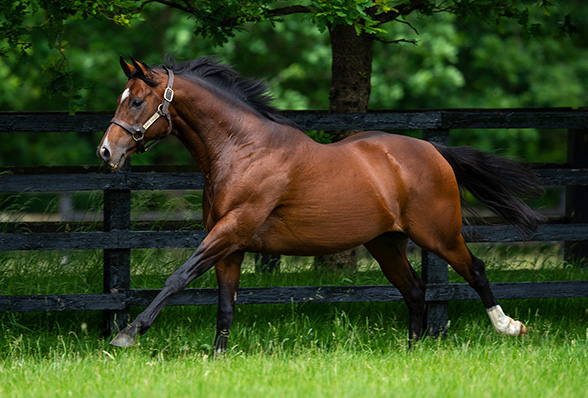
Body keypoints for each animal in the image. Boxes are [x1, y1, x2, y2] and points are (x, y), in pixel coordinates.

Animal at [96, 56, 544, 352]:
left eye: (136, 101)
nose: (105, 152)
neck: (241, 150)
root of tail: (435, 151)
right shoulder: (231, 243)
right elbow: (225, 304)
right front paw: (218, 357)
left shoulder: (231, 230)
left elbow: (178, 277)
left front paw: (126, 335)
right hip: (386, 243)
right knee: (415, 291)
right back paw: (411, 351)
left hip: (440, 235)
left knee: (475, 270)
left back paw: (509, 327)